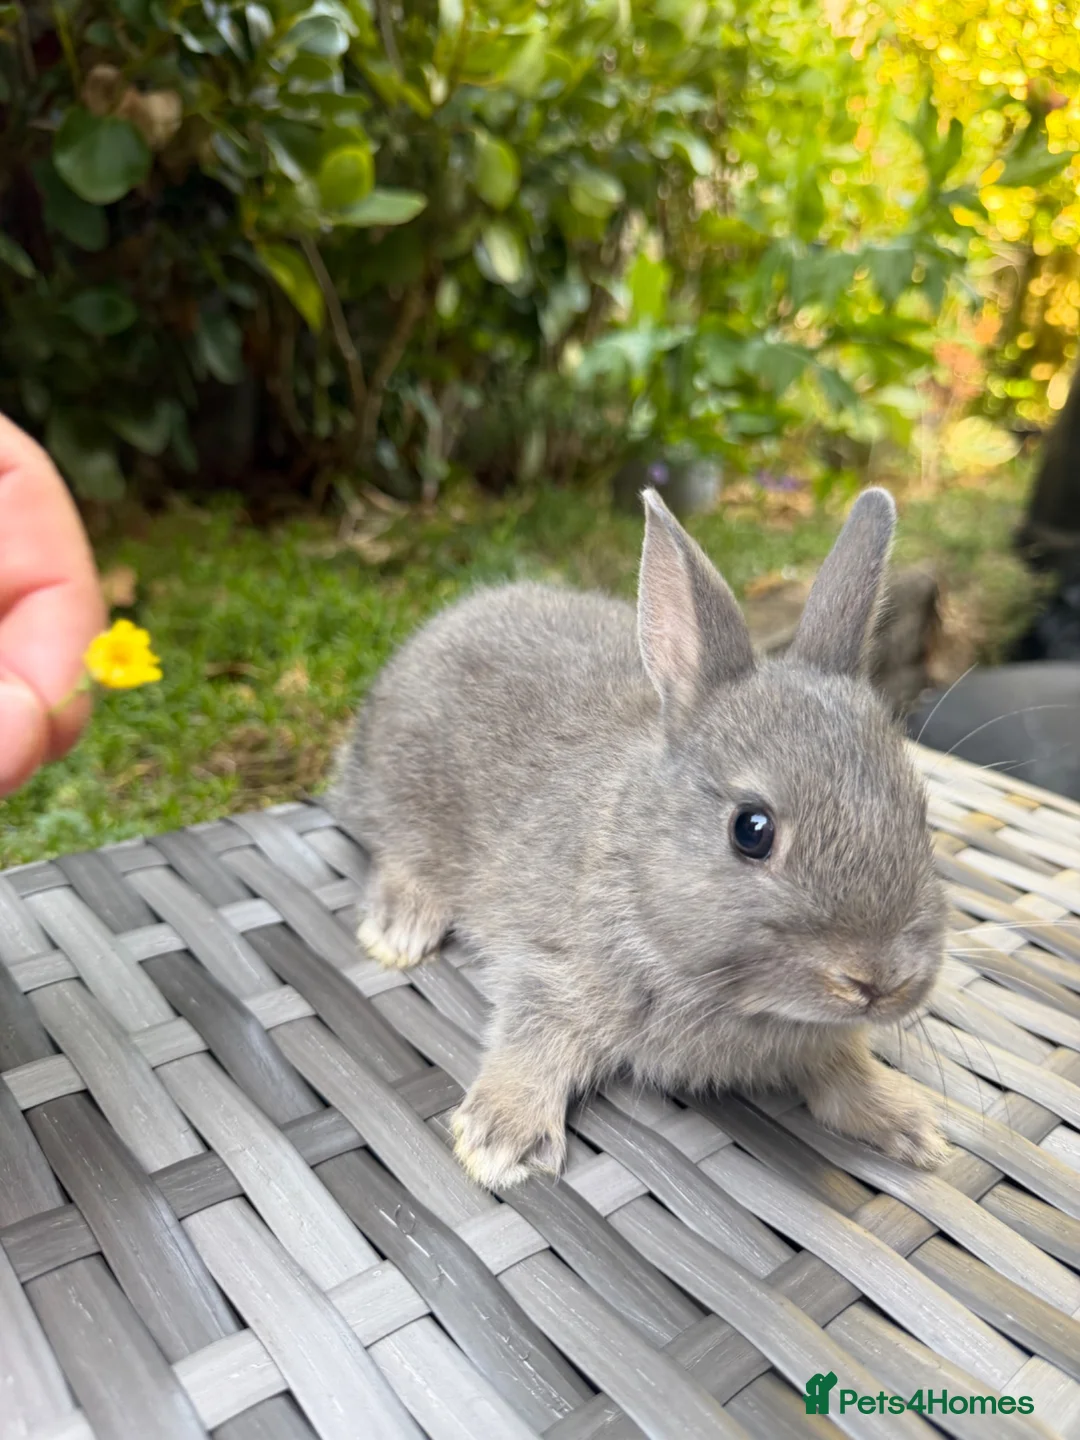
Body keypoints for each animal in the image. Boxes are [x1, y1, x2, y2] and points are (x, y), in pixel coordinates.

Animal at [328, 486, 948, 1190]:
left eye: (919, 812)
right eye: (751, 829)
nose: (879, 981)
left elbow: (841, 1067)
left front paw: (907, 1120)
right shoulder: (548, 965)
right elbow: (531, 1032)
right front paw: (502, 1138)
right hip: (407, 791)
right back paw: (400, 929)